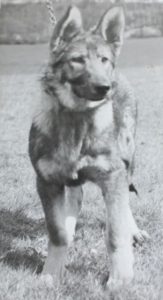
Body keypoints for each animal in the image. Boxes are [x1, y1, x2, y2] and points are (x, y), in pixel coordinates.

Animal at [28, 5, 149, 290]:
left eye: (103, 59)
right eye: (78, 60)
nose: (105, 88)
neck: (77, 121)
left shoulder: (112, 177)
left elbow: (115, 233)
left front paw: (120, 278)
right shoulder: (47, 182)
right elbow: (57, 232)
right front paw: (51, 273)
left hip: (127, 162)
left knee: (124, 201)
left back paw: (134, 232)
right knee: (75, 196)